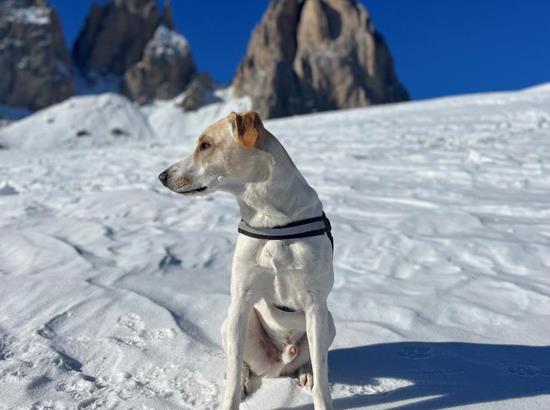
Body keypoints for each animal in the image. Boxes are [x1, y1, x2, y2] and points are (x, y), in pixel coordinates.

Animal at [157, 110, 334, 408]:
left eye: (205, 145)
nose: (162, 176)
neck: (270, 219)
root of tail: (279, 363)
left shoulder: (315, 306)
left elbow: (323, 382)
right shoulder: (241, 299)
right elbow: (230, 379)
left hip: (328, 323)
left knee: (311, 358)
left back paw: (306, 371)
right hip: (233, 322)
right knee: (238, 362)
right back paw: (241, 378)